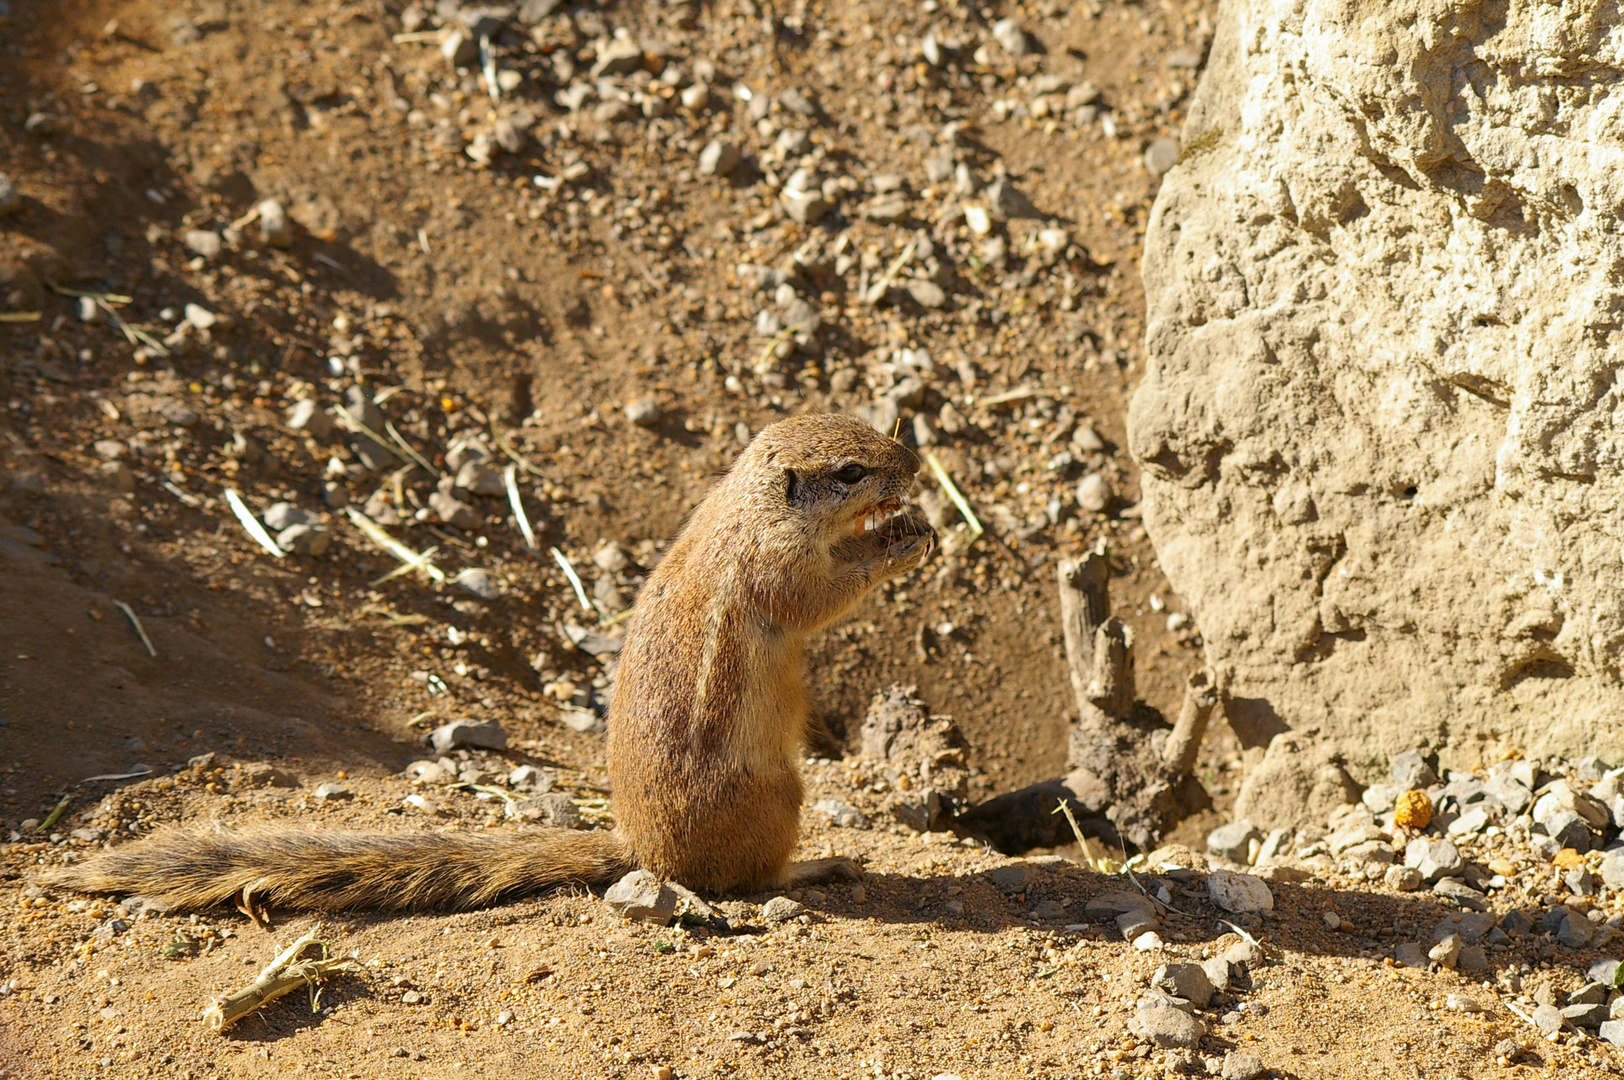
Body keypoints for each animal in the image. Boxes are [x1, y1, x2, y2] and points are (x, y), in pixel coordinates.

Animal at [44, 412, 935, 909]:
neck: (747, 509)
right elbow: (821, 597)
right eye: (851, 470)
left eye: (872, 432)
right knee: (748, 882)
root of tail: (645, 855)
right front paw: (900, 540)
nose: (917, 467)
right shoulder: (775, 569)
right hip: (782, 795)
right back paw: (818, 866)